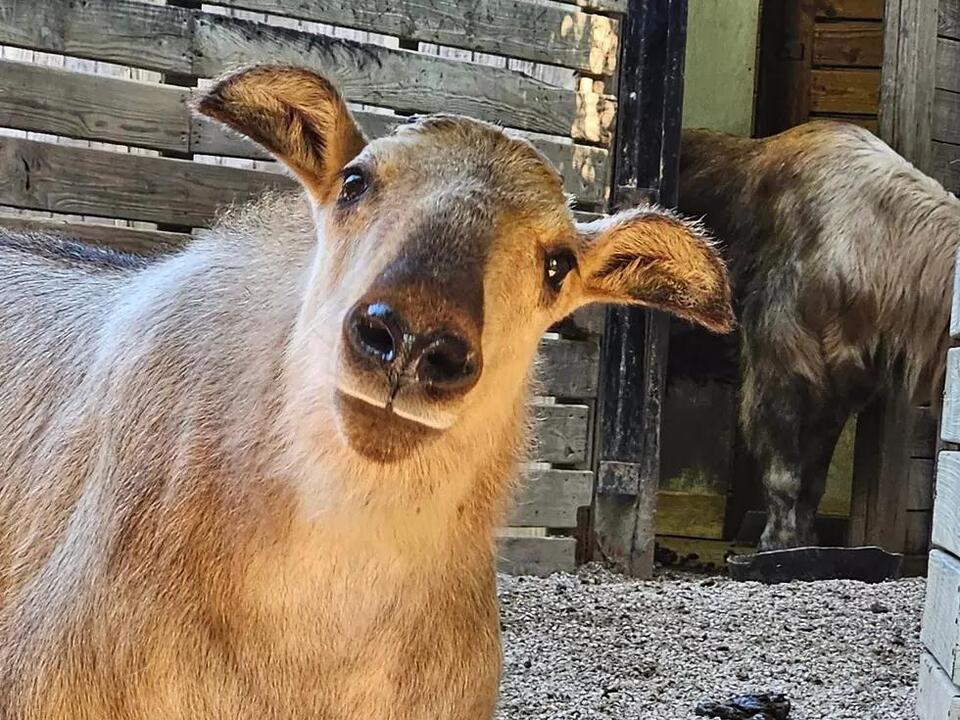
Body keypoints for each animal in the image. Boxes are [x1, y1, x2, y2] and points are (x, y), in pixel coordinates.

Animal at [677, 119, 960, 551]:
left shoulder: (838, 391)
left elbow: (813, 481)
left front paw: (807, 542)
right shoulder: (779, 368)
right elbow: (784, 475)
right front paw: (777, 544)